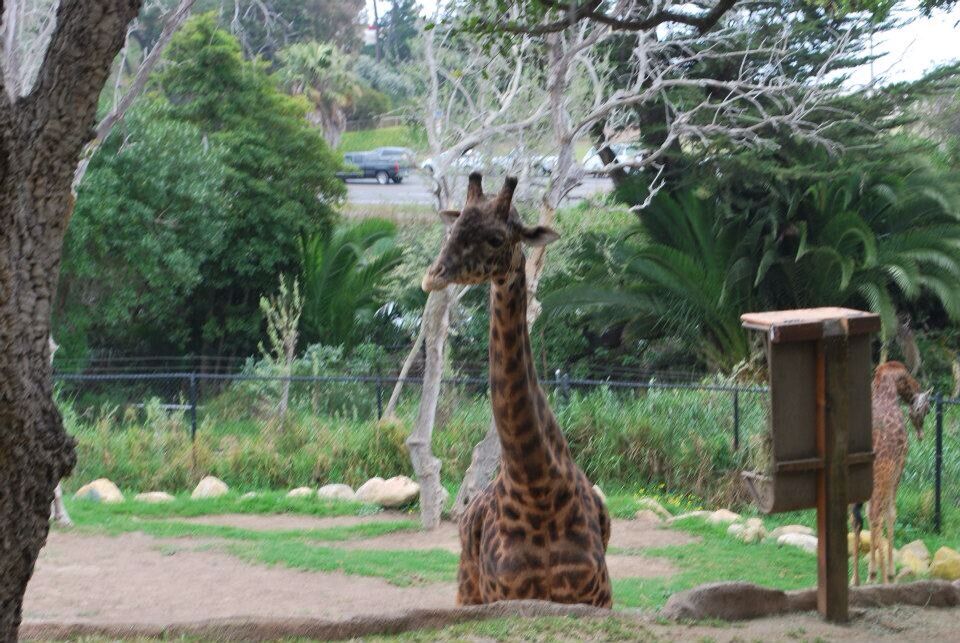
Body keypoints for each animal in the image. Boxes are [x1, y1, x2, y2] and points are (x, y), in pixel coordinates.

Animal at [422, 173, 612, 607]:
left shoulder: (596, 598)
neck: (536, 488)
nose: (432, 276)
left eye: (496, 238)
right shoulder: (503, 598)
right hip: (467, 590)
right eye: (454, 227)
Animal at [852, 360, 930, 585]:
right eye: (927, 410)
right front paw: (890, 573)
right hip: (879, 479)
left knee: (857, 520)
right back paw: (878, 576)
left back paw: (856, 580)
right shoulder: (898, 469)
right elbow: (891, 514)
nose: (921, 434)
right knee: (875, 516)